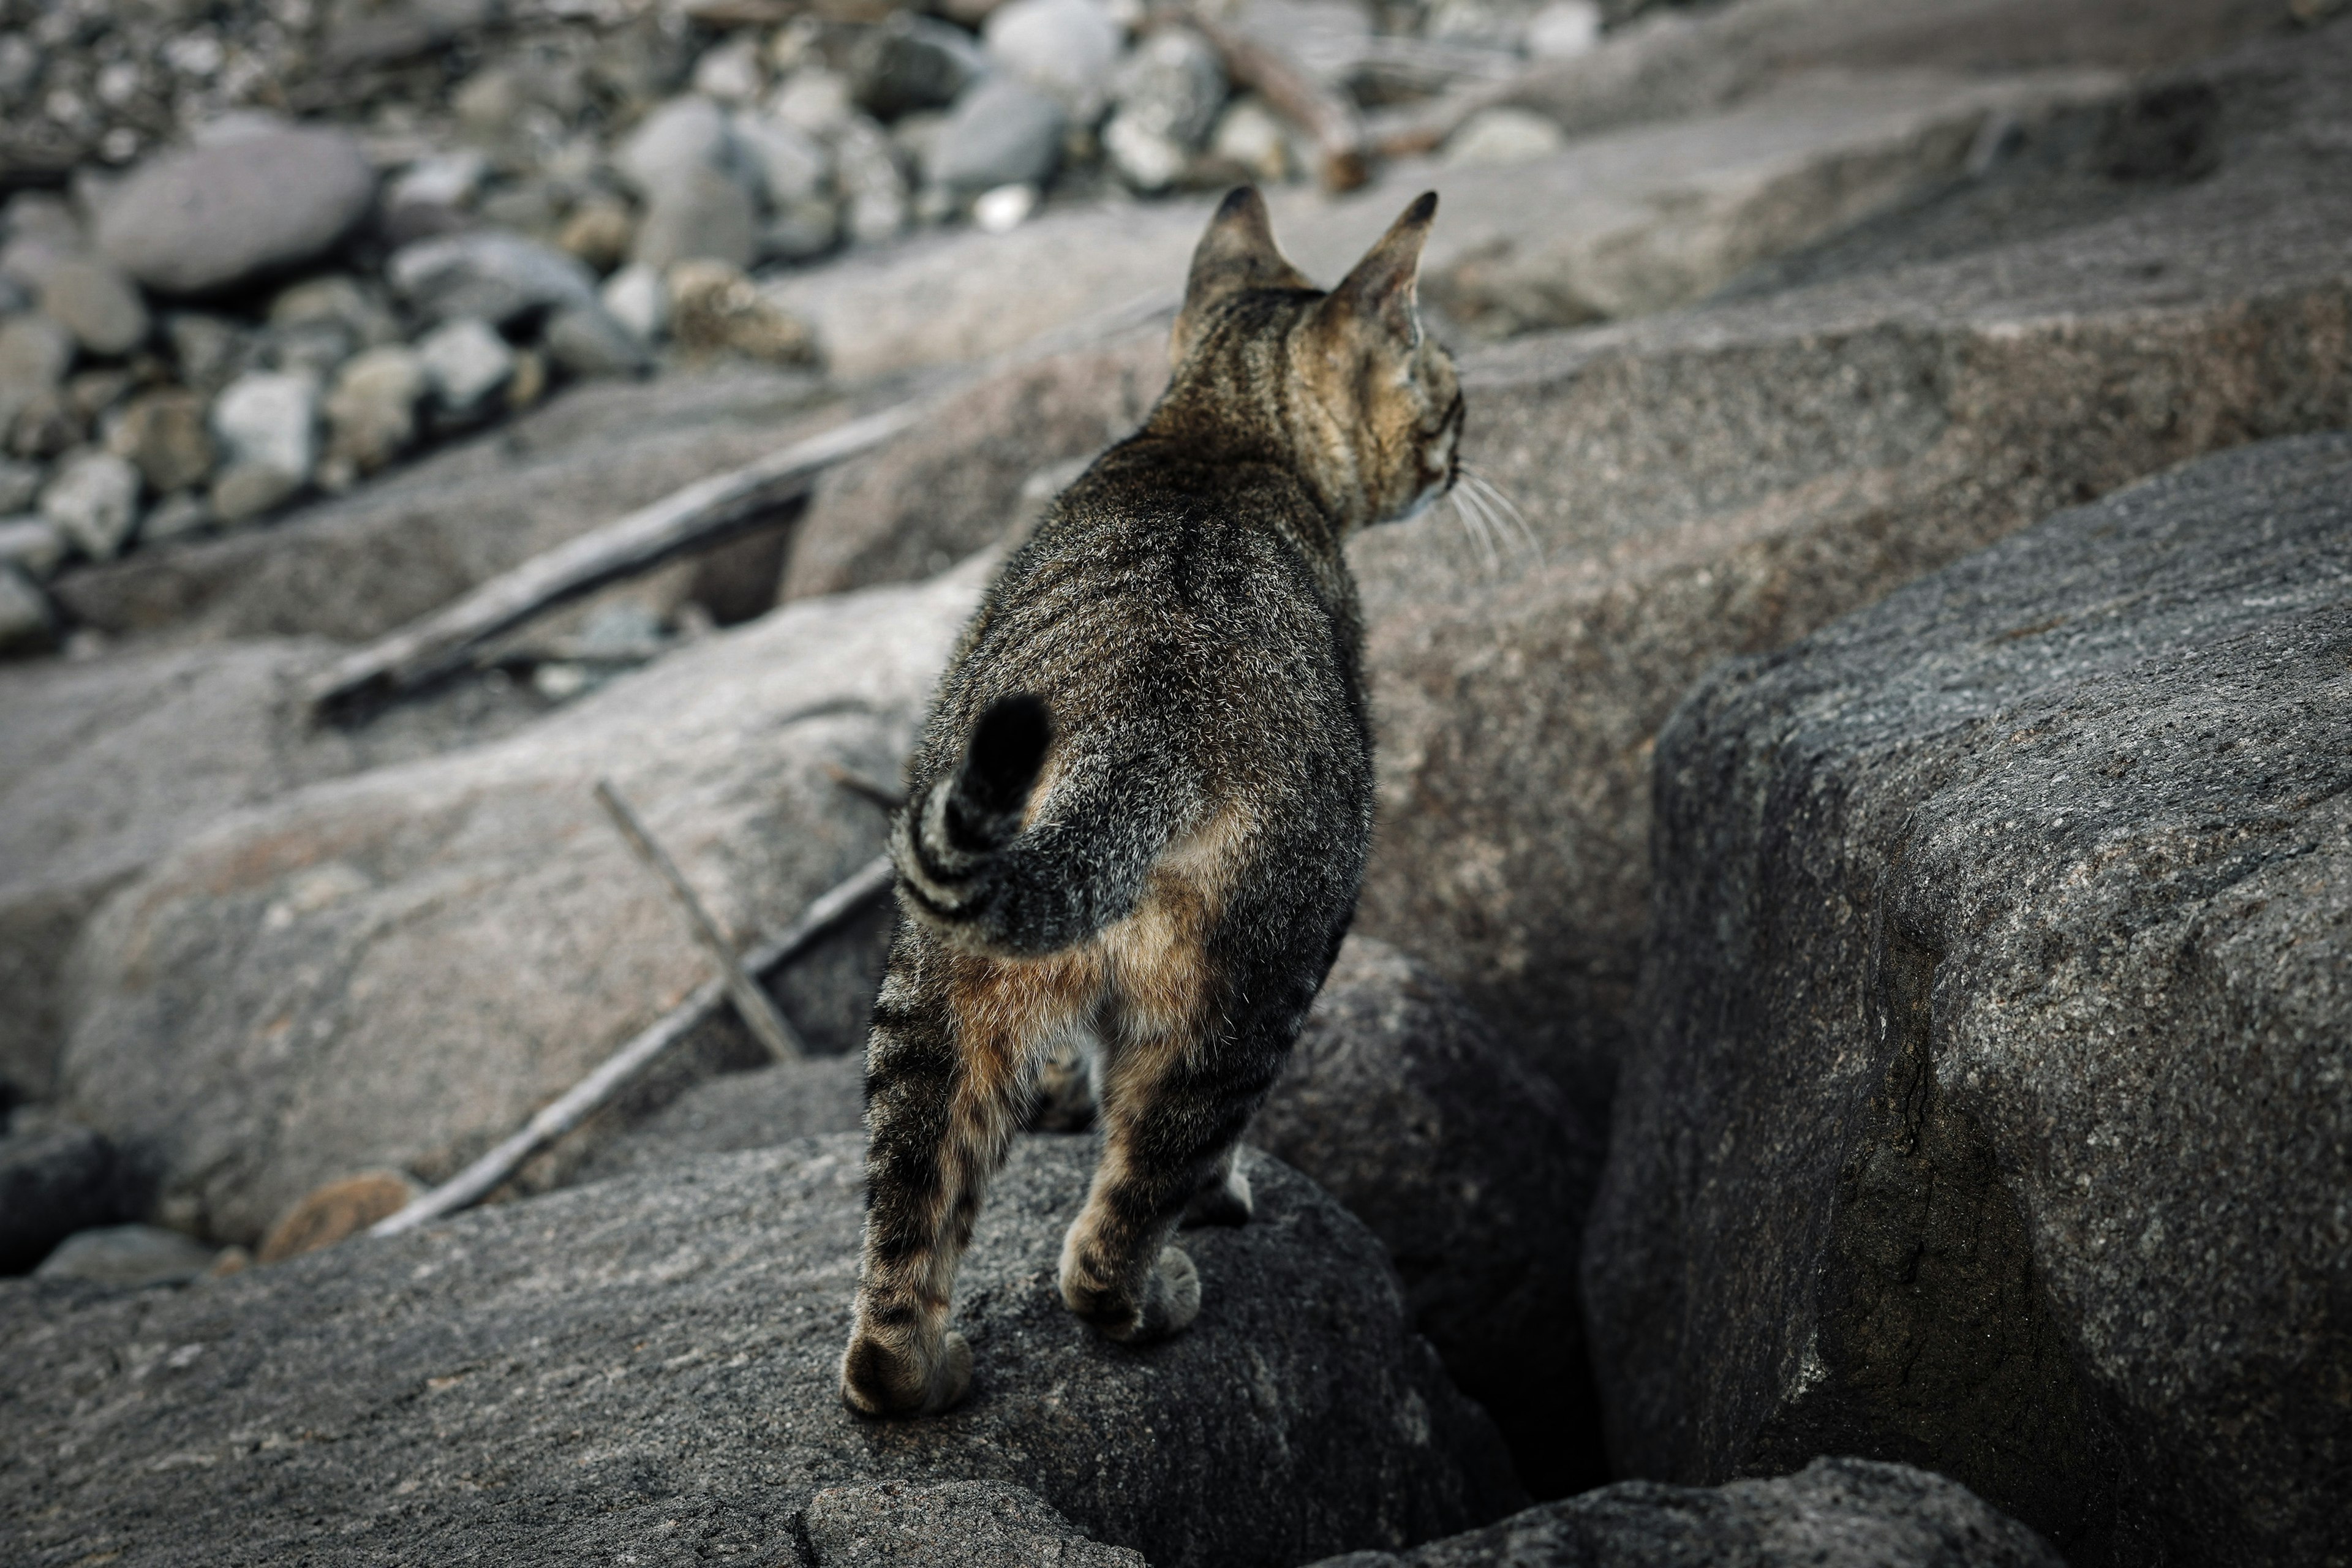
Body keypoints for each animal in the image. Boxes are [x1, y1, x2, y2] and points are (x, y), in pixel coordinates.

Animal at [846, 187, 1458, 1420]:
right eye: (1449, 390)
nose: (1464, 449)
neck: (1213, 431)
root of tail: (1133, 746)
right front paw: (1219, 1200)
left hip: (933, 982)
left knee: (906, 1234)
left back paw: (915, 1370)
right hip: (1254, 988)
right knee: (1120, 1218)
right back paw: (1158, 1289)